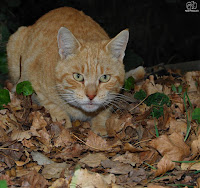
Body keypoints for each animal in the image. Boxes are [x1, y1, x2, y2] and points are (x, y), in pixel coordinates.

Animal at [7, 6, 141, 134]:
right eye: (78, 76)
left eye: (105, 77)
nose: (91, 96)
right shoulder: (33, 83)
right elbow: (51, 104)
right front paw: (62, 121)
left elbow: (104, 111)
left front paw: (100, 126)